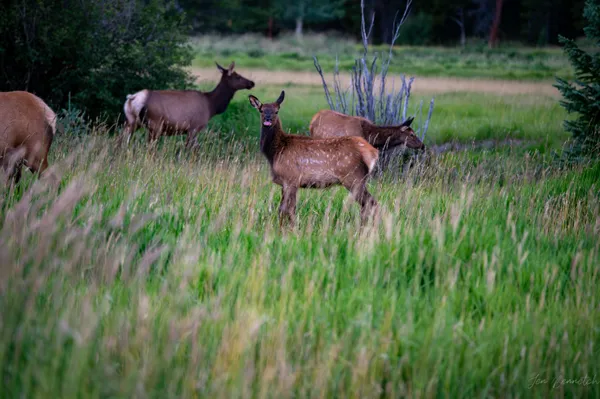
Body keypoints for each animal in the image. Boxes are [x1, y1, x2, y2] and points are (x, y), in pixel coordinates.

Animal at [120, 61, 254, 149]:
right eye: (237, 76)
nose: (252, 83)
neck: (211, 106)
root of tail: (133, 98)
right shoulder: (194, 128)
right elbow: (190, 151)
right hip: (155, 125)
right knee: (149, 148)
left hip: (130, 122)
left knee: (120, 142)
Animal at [248, 91, 380, 228]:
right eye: (261, 110)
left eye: (276, 111)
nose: (267, 120)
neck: (276, 152)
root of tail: (373, 152)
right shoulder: (285, 183)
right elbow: (282, 209)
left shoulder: (291, 178)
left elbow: (289, 209)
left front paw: (291, 229)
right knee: (368, 205)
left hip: (354, 177)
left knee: (372, 203)